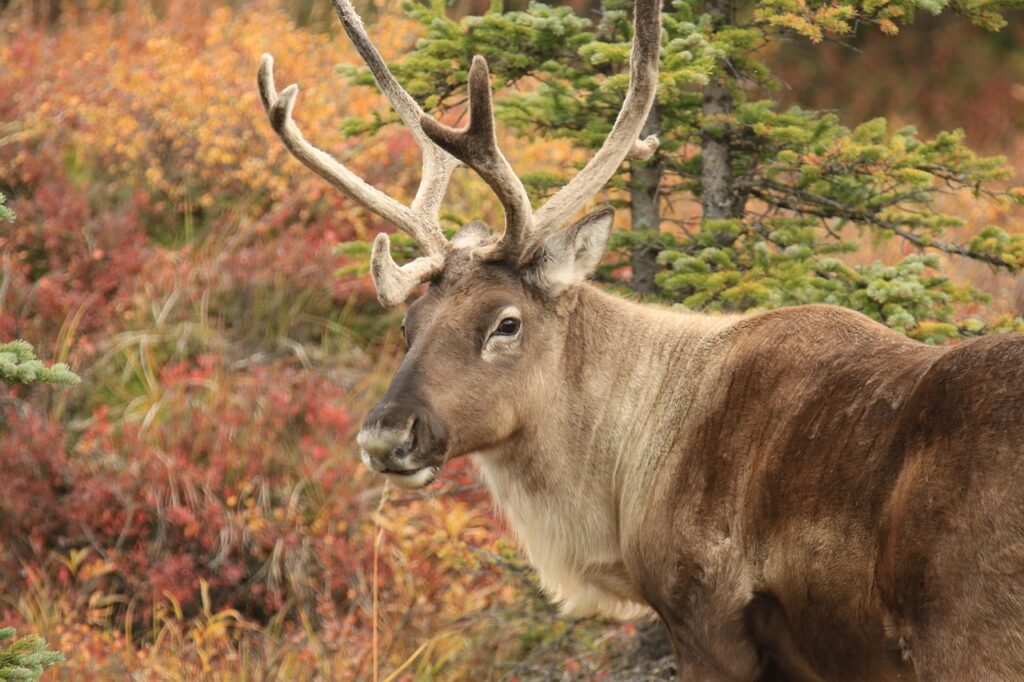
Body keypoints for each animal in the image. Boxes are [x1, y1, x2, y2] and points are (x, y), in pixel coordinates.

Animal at [257, 0, 1024, 679]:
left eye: (506, 322)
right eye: (409, 323)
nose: (384, 436)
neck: (625, 478)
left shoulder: (706, 618)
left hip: (968, 637)